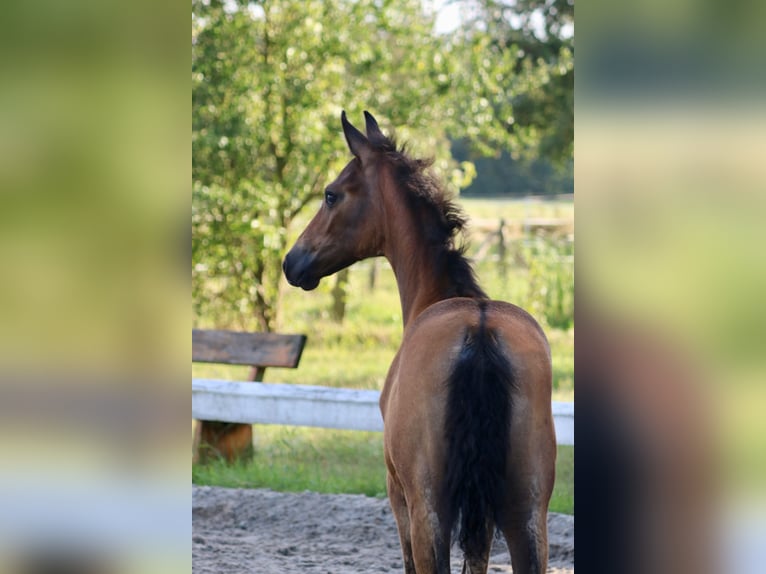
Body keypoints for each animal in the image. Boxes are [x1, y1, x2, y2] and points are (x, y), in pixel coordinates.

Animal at [284, 112, 560, 574]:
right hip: (526, 515)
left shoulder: (399, 498)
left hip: (429, 513)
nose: (292, 262)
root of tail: (479, 333)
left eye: (330, 194)